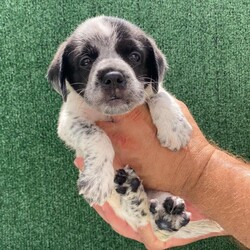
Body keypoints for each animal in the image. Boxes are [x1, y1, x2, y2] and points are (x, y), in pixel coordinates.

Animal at [47, 16, 223, 241]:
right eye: (85, 61)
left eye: (134, 56)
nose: (113, 76)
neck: (114, 114)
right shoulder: (69, 120)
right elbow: (96, 135)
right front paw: (96, 179)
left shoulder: (149, 89)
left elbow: (159, 93)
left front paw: (174, 128)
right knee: (141, 217)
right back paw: (133, 193)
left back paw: (168, 211)